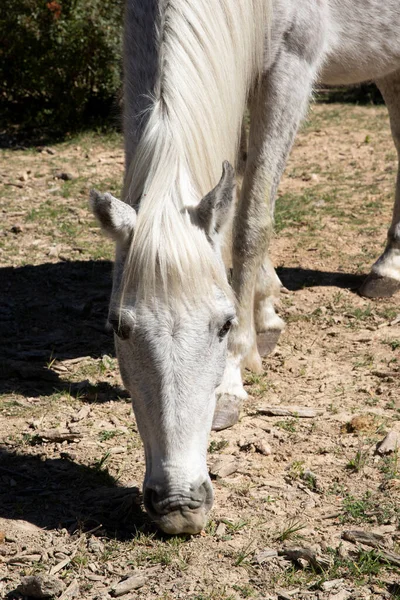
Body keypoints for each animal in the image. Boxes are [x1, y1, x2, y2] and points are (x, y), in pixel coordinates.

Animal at [90, 0, 400, 536]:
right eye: (118, 327)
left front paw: (236, 373)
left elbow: (253, 218)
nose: (178, 504)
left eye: (224, 324)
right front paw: (268, 311)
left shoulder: (289, 68)